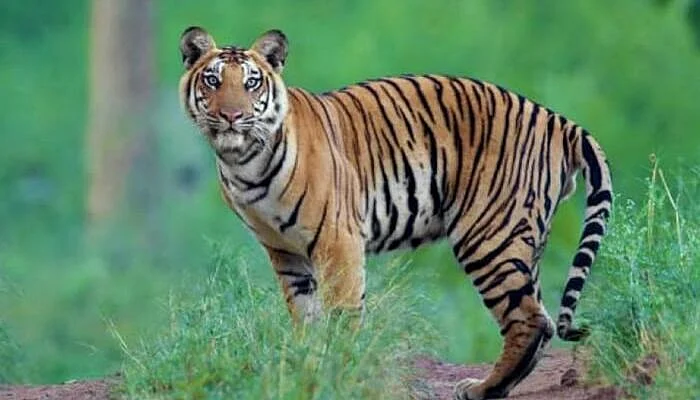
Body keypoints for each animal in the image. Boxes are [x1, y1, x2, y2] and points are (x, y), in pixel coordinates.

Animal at [178, 27, 612, 400]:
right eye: (213, 81)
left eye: (251, 83)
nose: (232, 116)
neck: (243, 164)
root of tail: (556, 119)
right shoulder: (284, 252)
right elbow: (305, 318)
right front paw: (307, 369)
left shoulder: (338, 240)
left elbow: (342, 315)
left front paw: (338, 373)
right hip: (522, 238)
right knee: (540, 316)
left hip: (489, 235)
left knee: (530, 319)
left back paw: (481, 389)